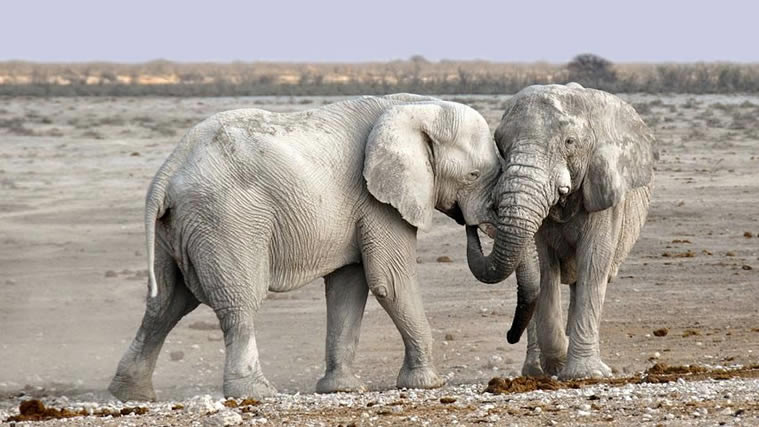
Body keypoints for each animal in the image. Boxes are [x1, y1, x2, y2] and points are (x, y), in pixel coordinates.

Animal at [105, 93, 498, 402]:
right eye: (473, 176)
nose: (472, 225)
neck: (417, 107)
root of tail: (168, 170)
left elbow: (348, 287)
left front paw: (341, 389)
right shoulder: (377, 201)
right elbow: (390, 281)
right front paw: (428, 383)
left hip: (177, 228)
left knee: (165, 304)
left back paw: (131, 394)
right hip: (226, 220)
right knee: (238, 302)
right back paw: (257, 392)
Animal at [466, 83, 656, 382]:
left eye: (569, 142)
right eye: (501, 145)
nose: (509, 335)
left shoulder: (604, 191)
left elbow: (594, 262)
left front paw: (585, 374)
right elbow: (545, 268)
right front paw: (558, 363)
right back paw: (535, 371)